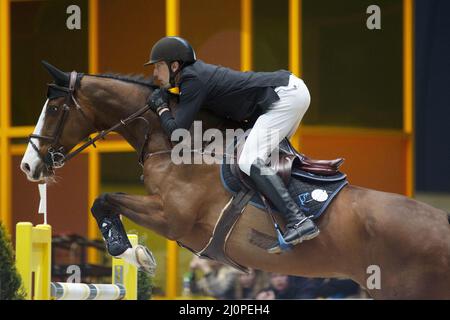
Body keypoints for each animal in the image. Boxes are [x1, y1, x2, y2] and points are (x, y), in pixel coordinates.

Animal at [20, 62, 450, 300]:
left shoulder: (172, 218)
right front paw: (133, 253)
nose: (27, 166)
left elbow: (104, 199)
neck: (176, 144)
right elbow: (104, 200)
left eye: (54, 108)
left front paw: (131, 252)